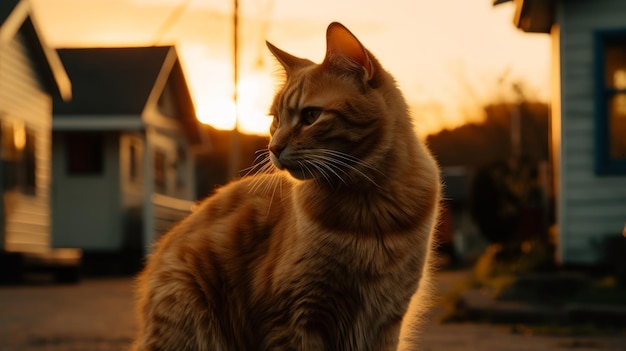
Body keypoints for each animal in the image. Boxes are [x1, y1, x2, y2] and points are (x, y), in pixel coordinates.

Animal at [132, 22, 438, 351]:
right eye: (275, 120)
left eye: (311, 116)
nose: (273, 148)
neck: (369, 211)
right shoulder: (294, 317)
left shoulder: (385, 320)